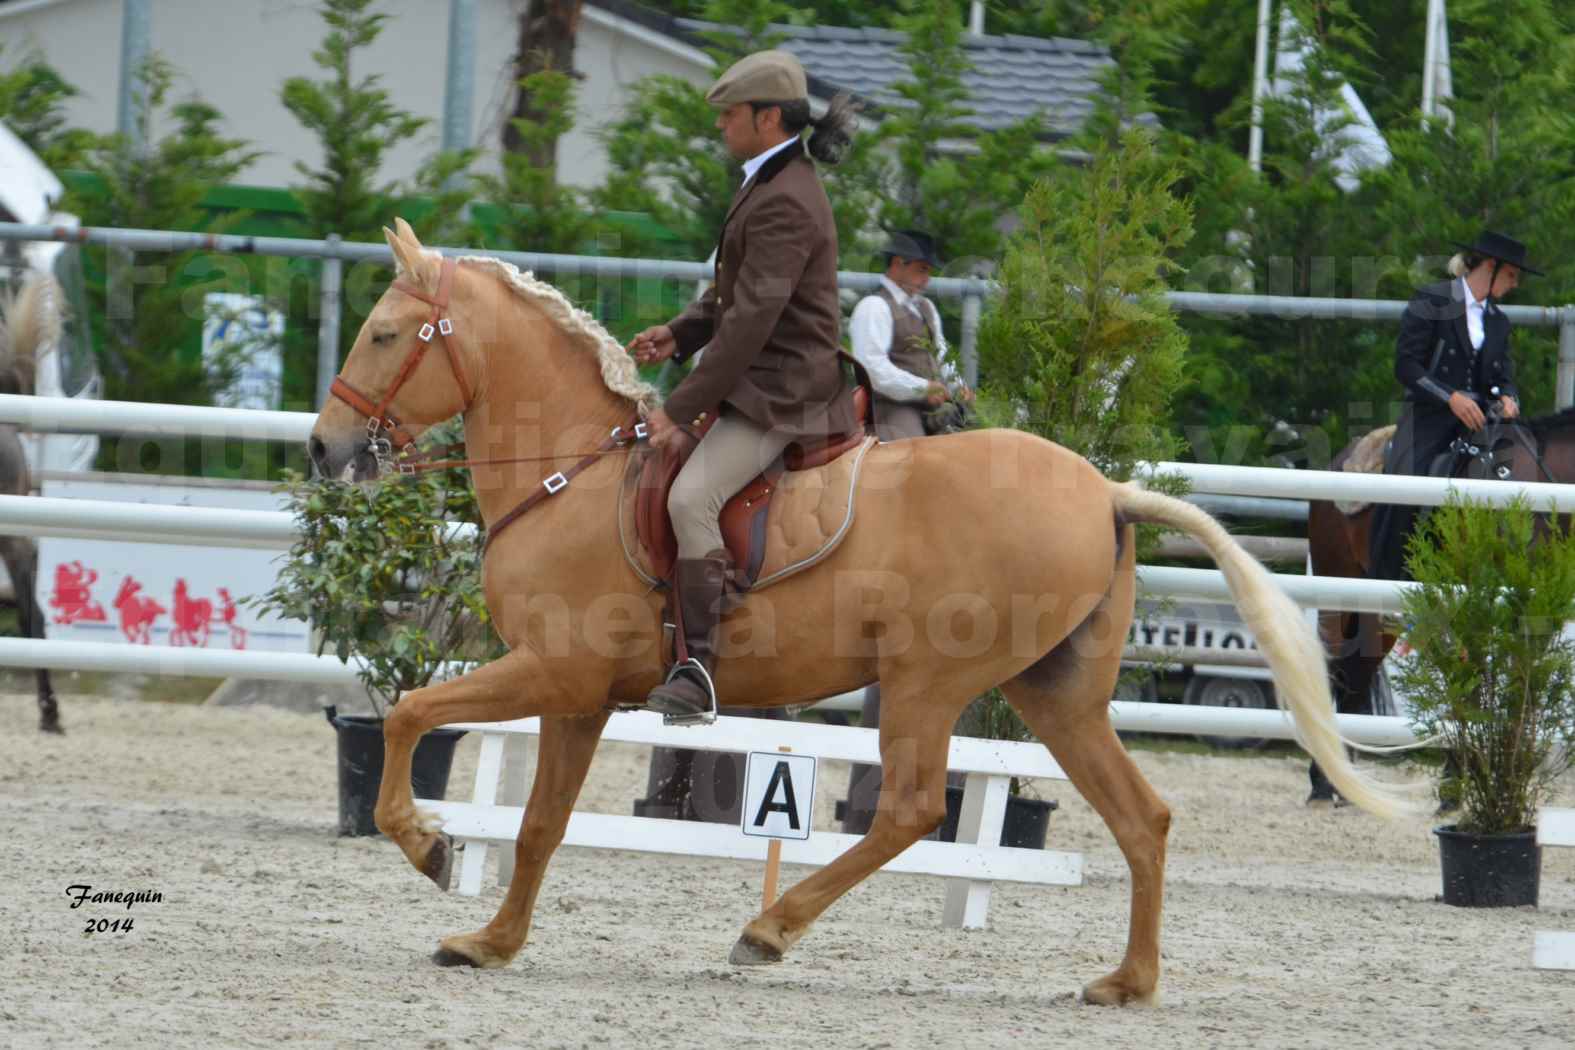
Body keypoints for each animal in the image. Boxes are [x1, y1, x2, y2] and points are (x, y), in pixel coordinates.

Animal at [310, 223, 1417, 1007]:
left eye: (385, 333)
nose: (324, 449)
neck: (571, 470)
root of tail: (1104, 492)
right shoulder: (578, 696)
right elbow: (539, 824)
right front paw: (488, 941)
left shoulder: (554, 672)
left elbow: (411, 714)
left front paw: (426, 847)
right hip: (1055, 692)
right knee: (1140, 816)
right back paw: (1125, 983)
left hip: (928, 679)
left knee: (914, 809)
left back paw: (769, 930)